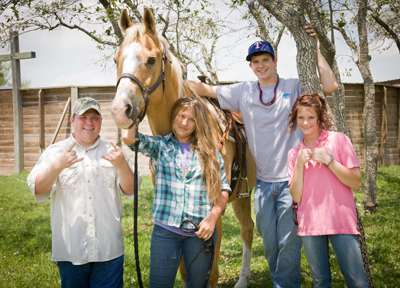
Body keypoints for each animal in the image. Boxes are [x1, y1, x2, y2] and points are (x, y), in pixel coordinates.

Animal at [111, 7, 256, 288]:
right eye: (116, 60)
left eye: (152, 59)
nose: (120, 110)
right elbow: (185, 271)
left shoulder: (212, 217)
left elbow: (211, 273)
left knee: (248, 229)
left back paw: (244, 279)